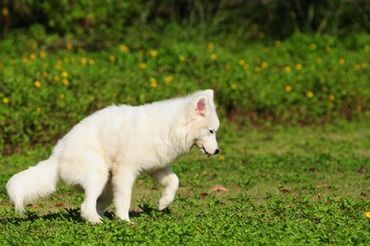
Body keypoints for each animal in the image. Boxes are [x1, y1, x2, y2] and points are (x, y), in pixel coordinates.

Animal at [6, 90, 220, 223]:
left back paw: (104, 220)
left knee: (96, 205)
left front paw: (163, 202)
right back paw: (98, 222)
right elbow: (125, 199)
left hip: (107, 187)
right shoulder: (126, 171)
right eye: (211, 131)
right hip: (98, 176)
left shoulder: (156, 167)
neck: (170, 126)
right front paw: (126, 221)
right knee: (86, 206)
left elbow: (174, 181)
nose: (218, 151)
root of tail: (56, 157)